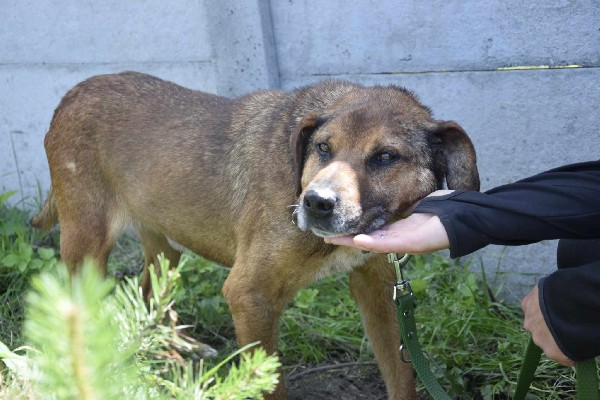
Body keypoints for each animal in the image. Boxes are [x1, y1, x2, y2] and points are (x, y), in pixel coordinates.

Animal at [32, 72, 480, 400]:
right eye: (323, 148)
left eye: (386, 156)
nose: (316, 203)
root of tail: (72, 93)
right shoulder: (249, 296)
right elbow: (269, 382)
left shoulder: (378, 288)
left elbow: (400, 374)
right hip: (87, 243)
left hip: (165, 246)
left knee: (147, 289)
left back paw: (178, 351)